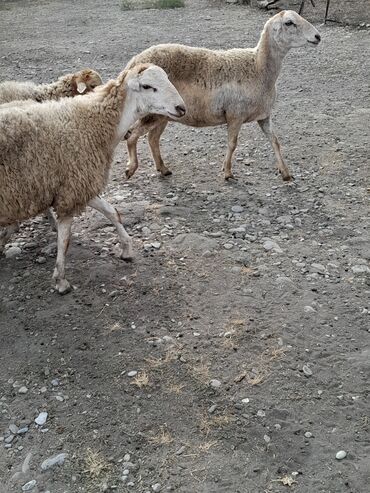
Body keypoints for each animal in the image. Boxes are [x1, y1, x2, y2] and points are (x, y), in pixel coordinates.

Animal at [0, 61, 185, 292]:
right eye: (147, 86)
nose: (182, 108)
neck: (94, 123)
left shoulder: (82, 183)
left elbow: (113, 212)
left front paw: (127, 250)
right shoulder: (72, 190)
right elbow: (65, 239)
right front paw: (60, 280)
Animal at [124, 10, 320, 181]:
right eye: (289, 23)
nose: (318, 36)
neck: (258, 67)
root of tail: (133, 63)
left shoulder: (264, 116)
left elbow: (275, 141)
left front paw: (285, 173)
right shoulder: (235, 115)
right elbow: (232, 144)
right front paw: (227, 172)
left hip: (164, 114)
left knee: (152, 139)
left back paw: (163, 169)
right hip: (153, 113)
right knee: (132, 135)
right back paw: (131, 169)